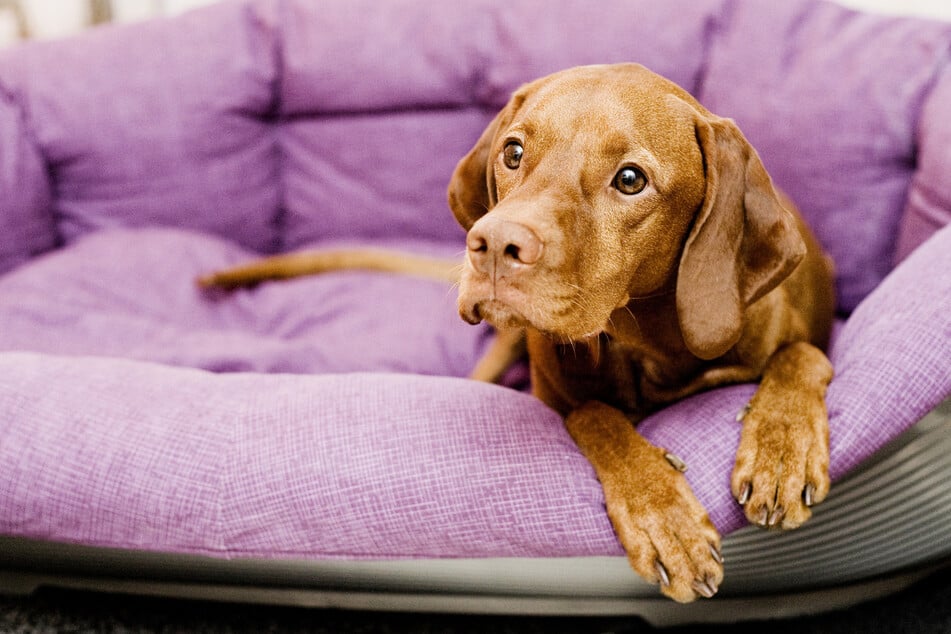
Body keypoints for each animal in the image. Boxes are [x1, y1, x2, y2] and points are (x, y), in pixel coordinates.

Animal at [201, 64, 832, 604]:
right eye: (514, 151)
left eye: (631, 179)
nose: (493, 244)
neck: (651, 345)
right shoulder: (555, 389)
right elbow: (595, 415)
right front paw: (663, 517)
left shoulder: (797, 336)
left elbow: (802, 356)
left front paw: (781, 454)